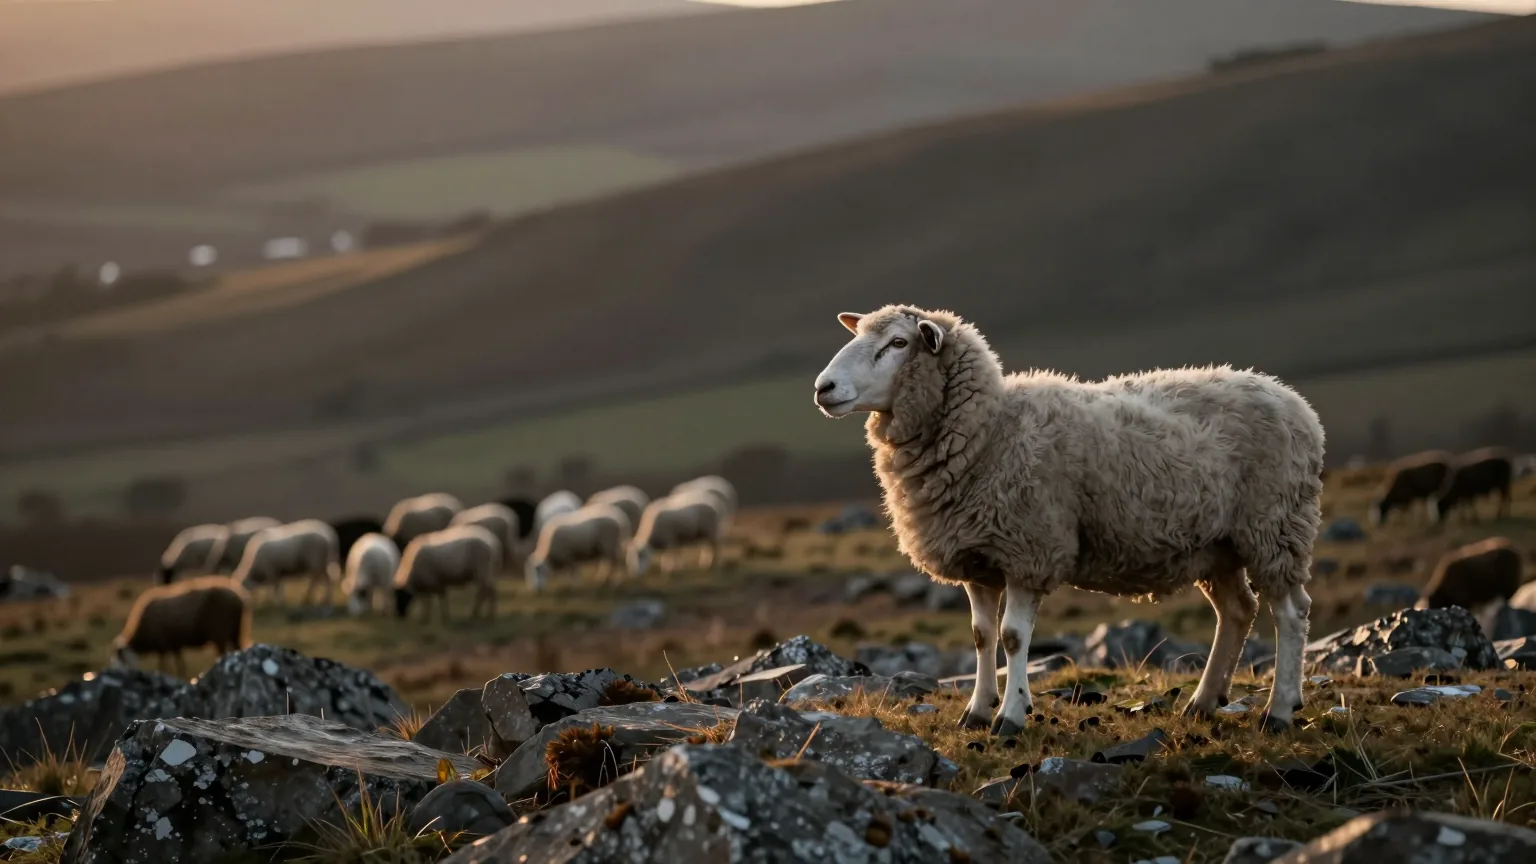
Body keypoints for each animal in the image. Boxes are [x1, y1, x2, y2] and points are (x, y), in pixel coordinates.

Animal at [108, 575, 251, 678]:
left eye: (120, 662)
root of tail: (239, 597)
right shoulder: (175, 644)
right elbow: (180, 663)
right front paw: (181, 675)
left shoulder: (162, 645)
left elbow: (163, 665)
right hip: (235, 632)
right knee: (238, 649)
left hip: (220, 633)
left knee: (222, 653)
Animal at [813, 305, 1324, 736]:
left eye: (898, 343)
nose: (823, 388)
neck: (992, 428)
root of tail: (1295, 400)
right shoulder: (976, 554)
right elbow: (981, 636)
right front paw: (976, 711)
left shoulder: (1029, 548)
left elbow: (1013, 637)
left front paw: (1010, 715)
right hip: (1218, 545)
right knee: (1237, 610)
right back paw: (1202, 702)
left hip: (1274, 526)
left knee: (1290, 613)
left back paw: (1279, 710)